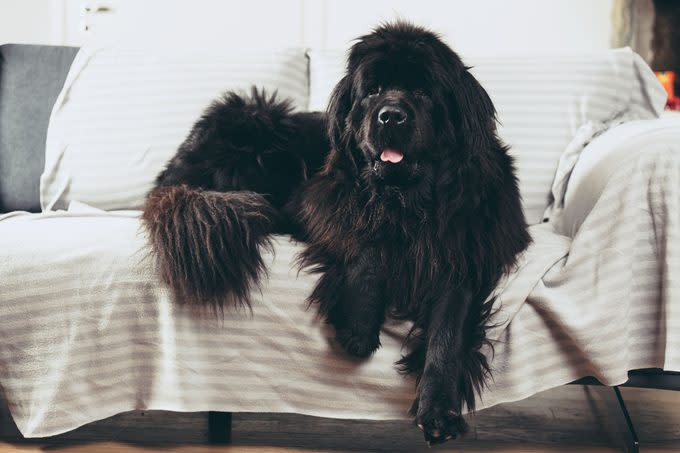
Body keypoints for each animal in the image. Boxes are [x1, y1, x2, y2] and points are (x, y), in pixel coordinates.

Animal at [143, 21, 532, 442]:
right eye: (373, 90)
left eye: (423, 91)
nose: (390, 117)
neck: (407, 202)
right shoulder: (317, 202)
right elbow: (366, 240)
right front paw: (358, 325)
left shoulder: (465, 249)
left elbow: (449, 328)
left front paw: (439, 410)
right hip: (256, 122)